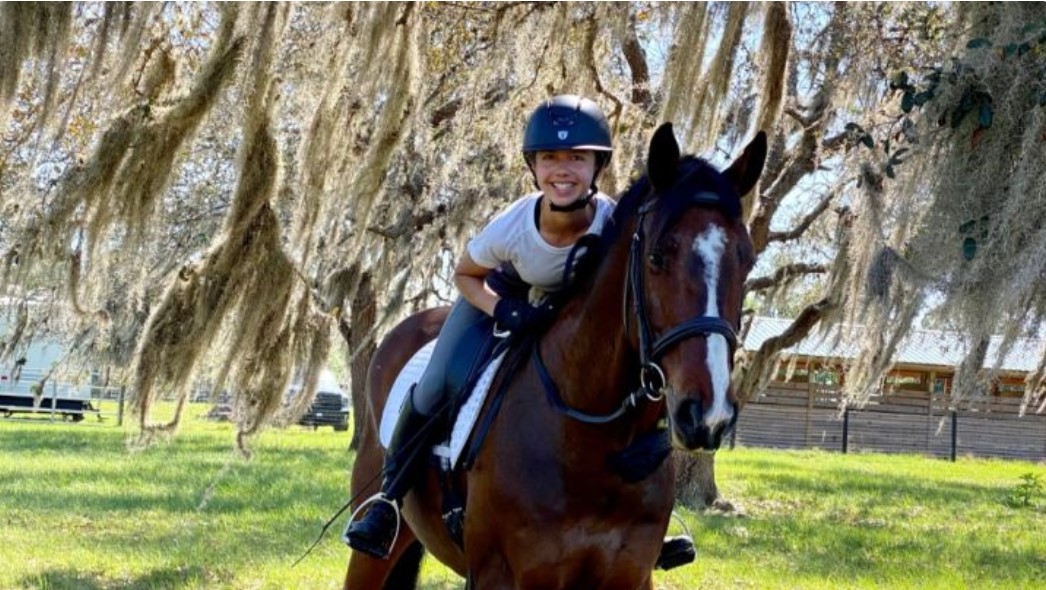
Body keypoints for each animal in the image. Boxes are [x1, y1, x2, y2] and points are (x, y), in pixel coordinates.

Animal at [347, 124, 765, 590]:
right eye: (657, 257)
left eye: (747, 260)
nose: (707, 416)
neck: (595, 441)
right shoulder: (502, 575)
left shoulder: (631, 576)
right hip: (373, 550)